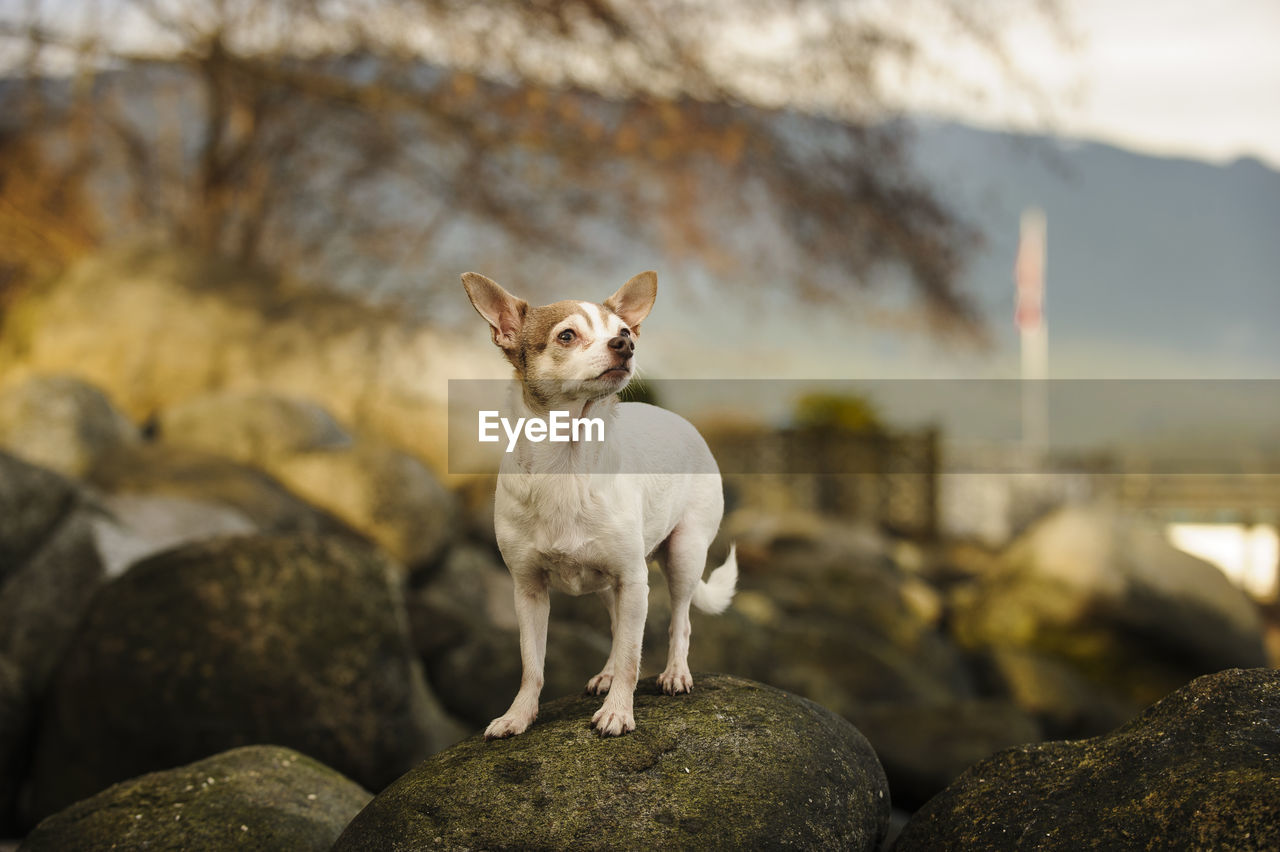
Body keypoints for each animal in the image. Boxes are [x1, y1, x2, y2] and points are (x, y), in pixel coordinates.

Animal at [465, 268, 737, 731]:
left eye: (624, 331)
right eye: (566, 336)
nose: (625, 344)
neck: (568, 461)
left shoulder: (634, 579)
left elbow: (632, 656)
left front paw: (618, 712)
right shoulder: (528, 590)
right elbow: (532, 664)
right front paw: (518, 717)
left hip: (682, 555)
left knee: (679, 621)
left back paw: (675, 673)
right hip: (612, 584)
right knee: (616, 628)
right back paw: (607, 675)